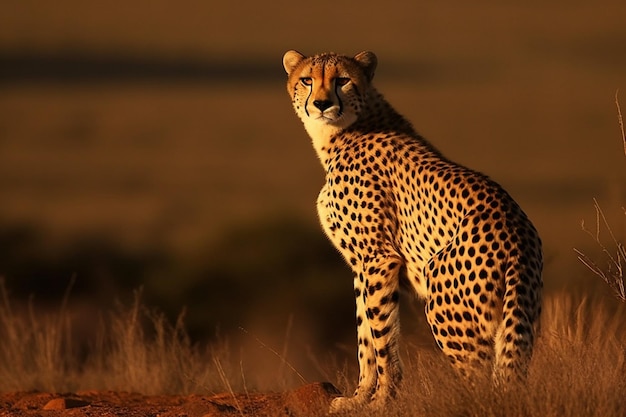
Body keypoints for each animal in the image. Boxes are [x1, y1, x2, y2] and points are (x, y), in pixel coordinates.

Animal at [282, 50, 540, 412]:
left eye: (342, 80)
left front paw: (380, 403)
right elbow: (365, 337)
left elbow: (382, 340)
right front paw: (358, 399)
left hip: (448, 311)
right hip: (517, 318)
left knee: (480, 382)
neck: (344, 131)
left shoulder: (379, 259)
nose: (321, 103)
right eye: (307, 80)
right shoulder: (362, 267)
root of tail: (513, 226)